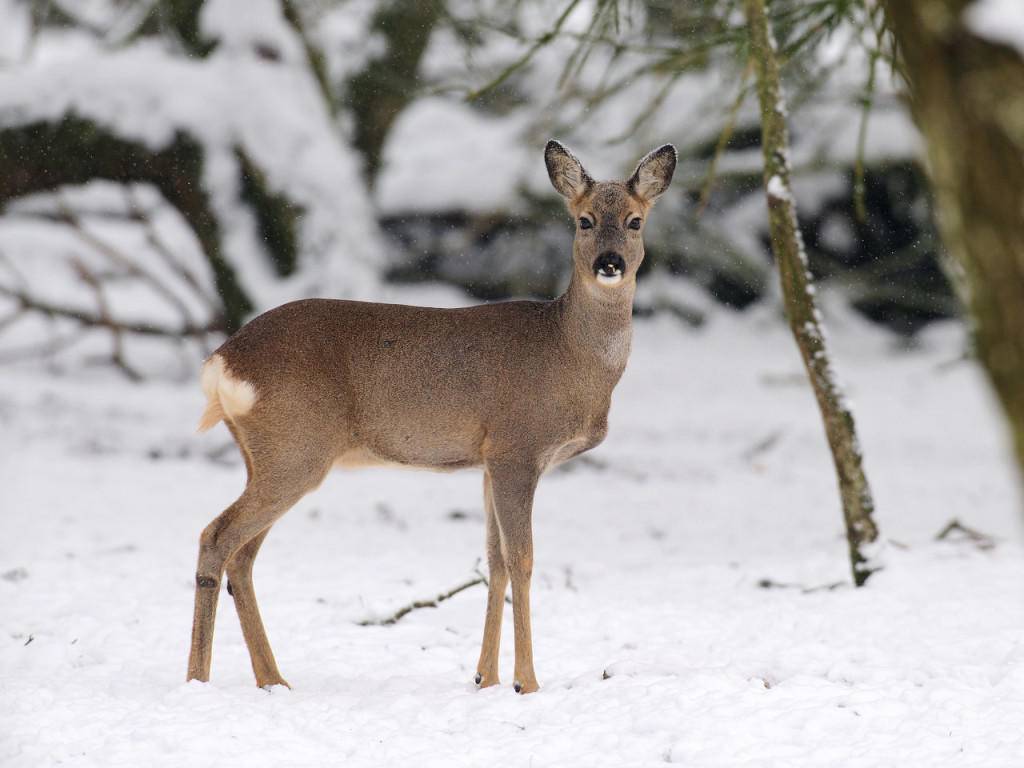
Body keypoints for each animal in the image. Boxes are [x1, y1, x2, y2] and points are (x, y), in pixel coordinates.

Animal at [188, 140, 675, 696]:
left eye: (636, 221)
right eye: (585, 220)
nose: (609, 263)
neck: (568, 355)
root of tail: (223, 361)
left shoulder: (488, 460)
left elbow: (494, 560)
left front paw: (485, 678)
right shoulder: (517, 447)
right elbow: (523, 559)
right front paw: (526, 683)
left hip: (267, 454)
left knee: (242, 556)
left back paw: (274, 681)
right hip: (296, 448)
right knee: (217, 537)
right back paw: (199, 680)